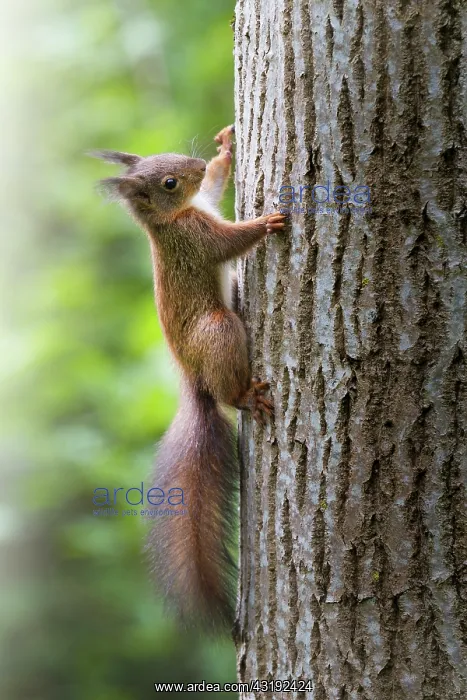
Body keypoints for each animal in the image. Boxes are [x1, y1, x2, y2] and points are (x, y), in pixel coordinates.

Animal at [91, 125, 286, 629]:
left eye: (172, 157)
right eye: (169, 184)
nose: (195, 167)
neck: (172, 219)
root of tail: (195, 382)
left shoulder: (207, 205)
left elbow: (216, 189)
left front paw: (224, 153)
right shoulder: (196, 238)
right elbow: (229, 245)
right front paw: (268, 222)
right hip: (218, 330)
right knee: (229, 389)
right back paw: (245, 396)